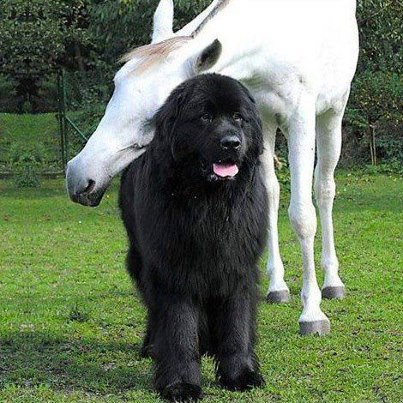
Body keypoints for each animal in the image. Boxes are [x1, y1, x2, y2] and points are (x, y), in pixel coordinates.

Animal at [66, 0, 359, 335]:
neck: (269, 44)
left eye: (158, 113)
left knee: (324, 189)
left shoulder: (301, 119)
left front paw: (312, 313)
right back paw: (277, 286)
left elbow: (302, 216)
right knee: (272, 193)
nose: (79, 177)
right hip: (268, 126)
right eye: (116, 85)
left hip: (332, 113)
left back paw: (332, 282)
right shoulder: (253, 122)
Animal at [119, 73, 268, 401]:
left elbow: (237, 325)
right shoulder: (173, 271)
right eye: (205, 116)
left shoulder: (238, 266)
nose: (231, 143)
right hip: (139, 258)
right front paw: (180, 383)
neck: (210, 203)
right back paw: (152, 345)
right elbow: (179, 330)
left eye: (238, 117)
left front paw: (240, 374)